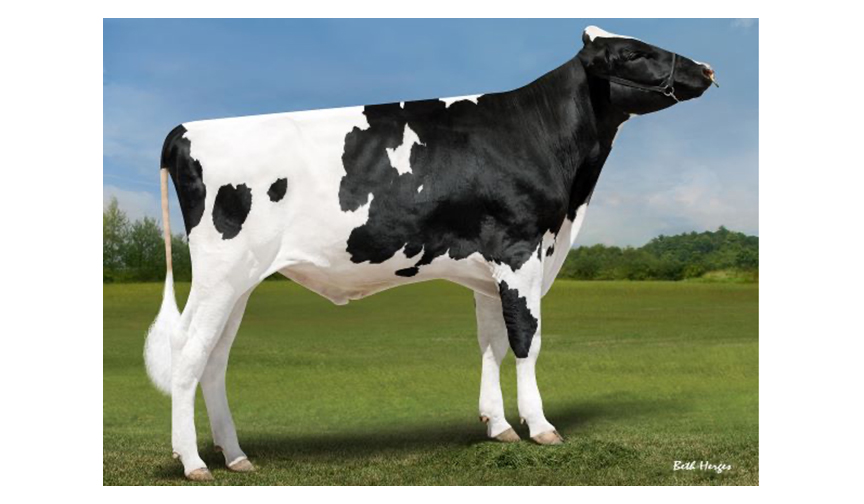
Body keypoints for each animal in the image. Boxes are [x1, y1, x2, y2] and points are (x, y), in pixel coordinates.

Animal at [145, 26, 718, 480]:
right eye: (635, 52)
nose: (708, 68)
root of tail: (185, 129)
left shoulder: (490, 269)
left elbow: (492, 344)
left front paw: (498, 426)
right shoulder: (519, 250)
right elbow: (526, 340)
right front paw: (540, 427)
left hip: (241, 280)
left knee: (215, 357)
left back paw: (235, 456)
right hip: (220, 272)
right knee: (187, 351)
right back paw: (192, 462)